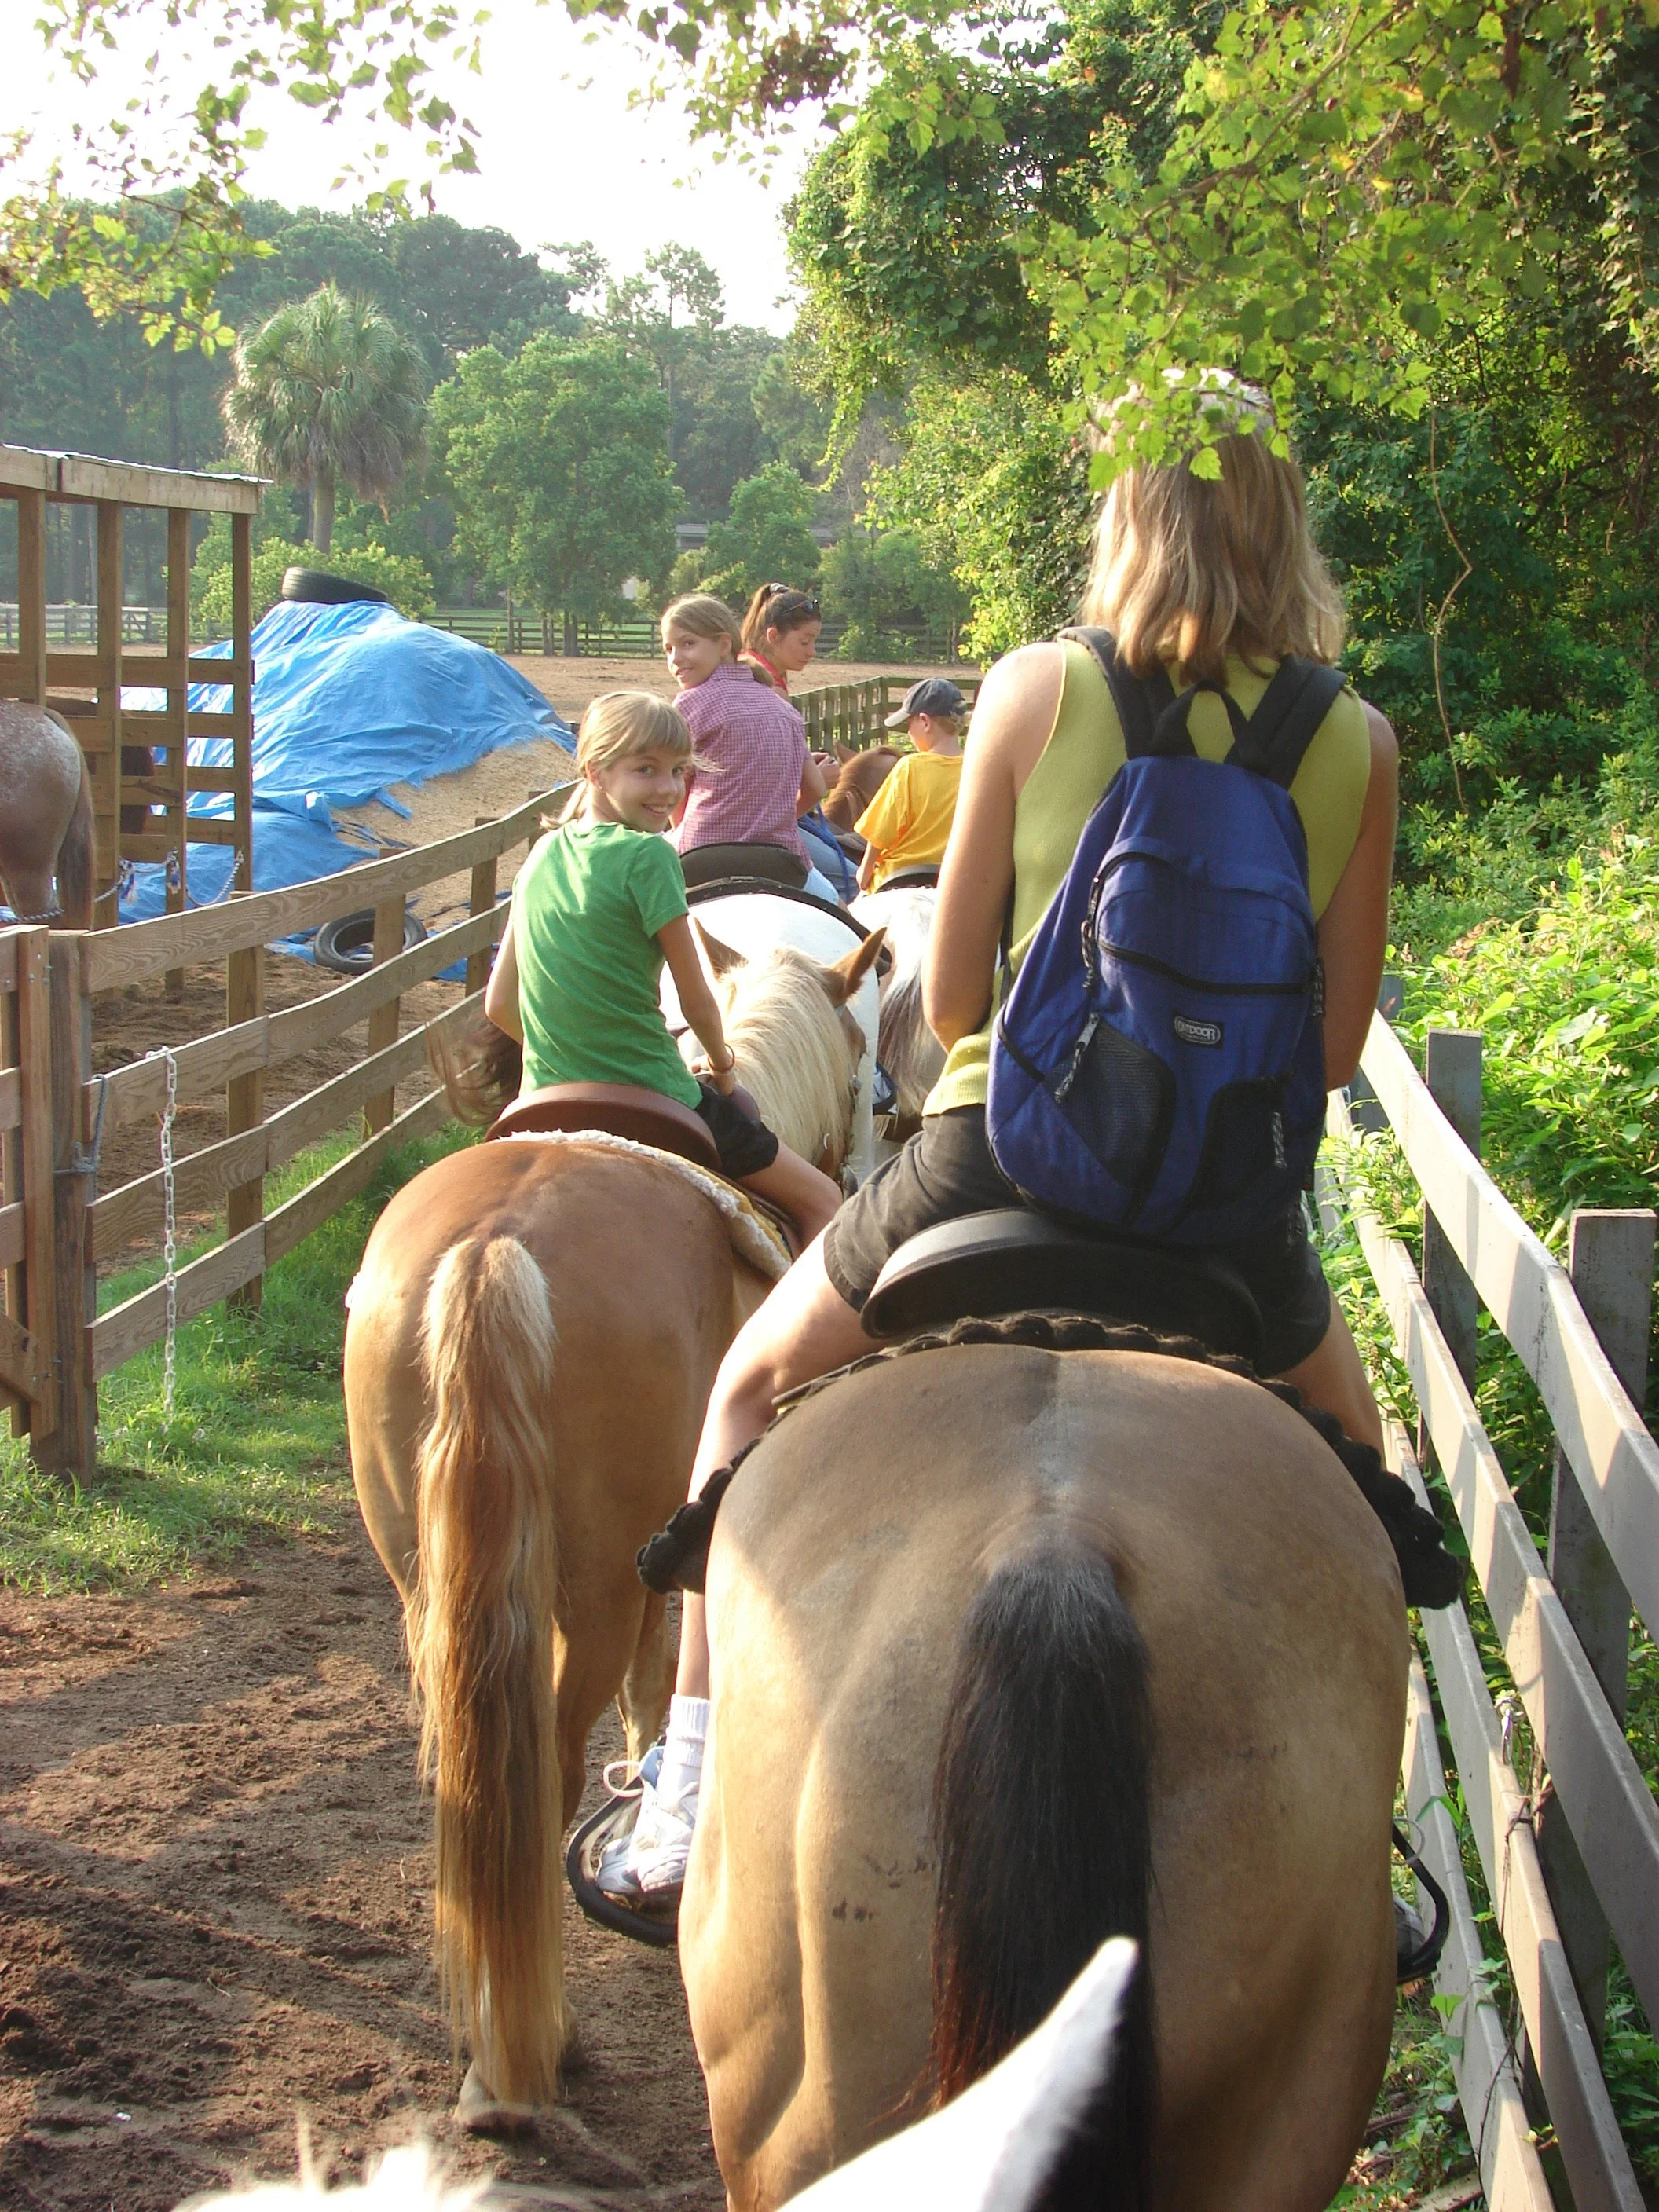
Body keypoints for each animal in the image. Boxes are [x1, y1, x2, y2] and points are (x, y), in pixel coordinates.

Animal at [342, 915, 886, 2129]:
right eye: (863, 1069)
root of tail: (492, 1249)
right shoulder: (665, 1554)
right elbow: (655, 1685)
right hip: (587, 1586)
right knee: (536, 1768)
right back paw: (524, 2057)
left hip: (426, 1580)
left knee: (469, 1778)